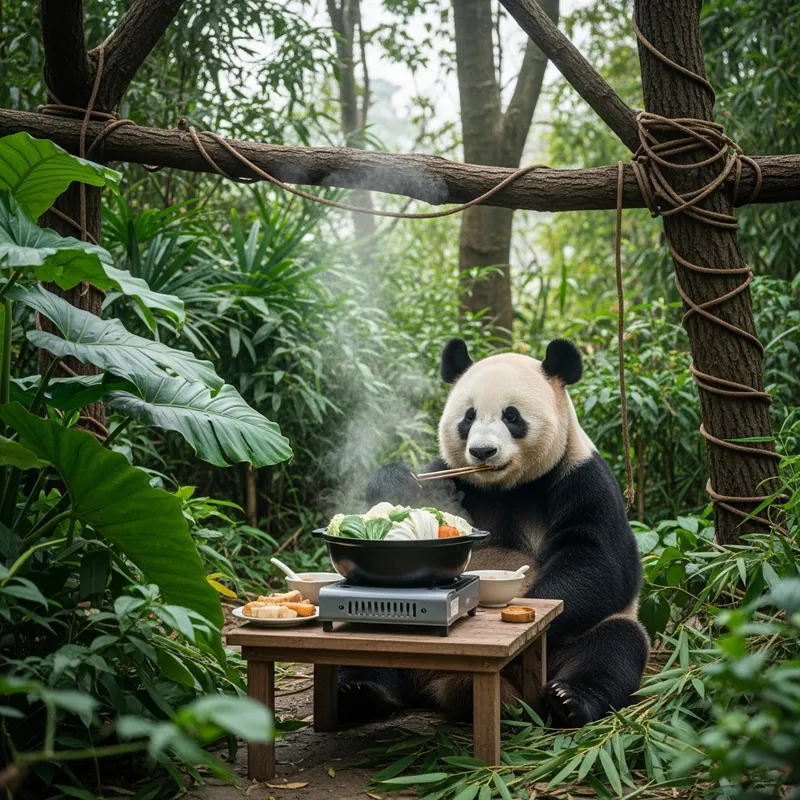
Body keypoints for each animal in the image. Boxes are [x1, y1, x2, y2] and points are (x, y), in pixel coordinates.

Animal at [337, 338, 649, 728]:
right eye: (468, 417)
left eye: (511, 416)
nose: (482, 451)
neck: (504, 486)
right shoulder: (453, 475)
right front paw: (396, 481)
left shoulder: (581, 477)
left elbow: (599, 564)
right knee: (366, 642)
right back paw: (363, 693)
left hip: (585, 639)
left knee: (614, 646)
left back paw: (569, 700)